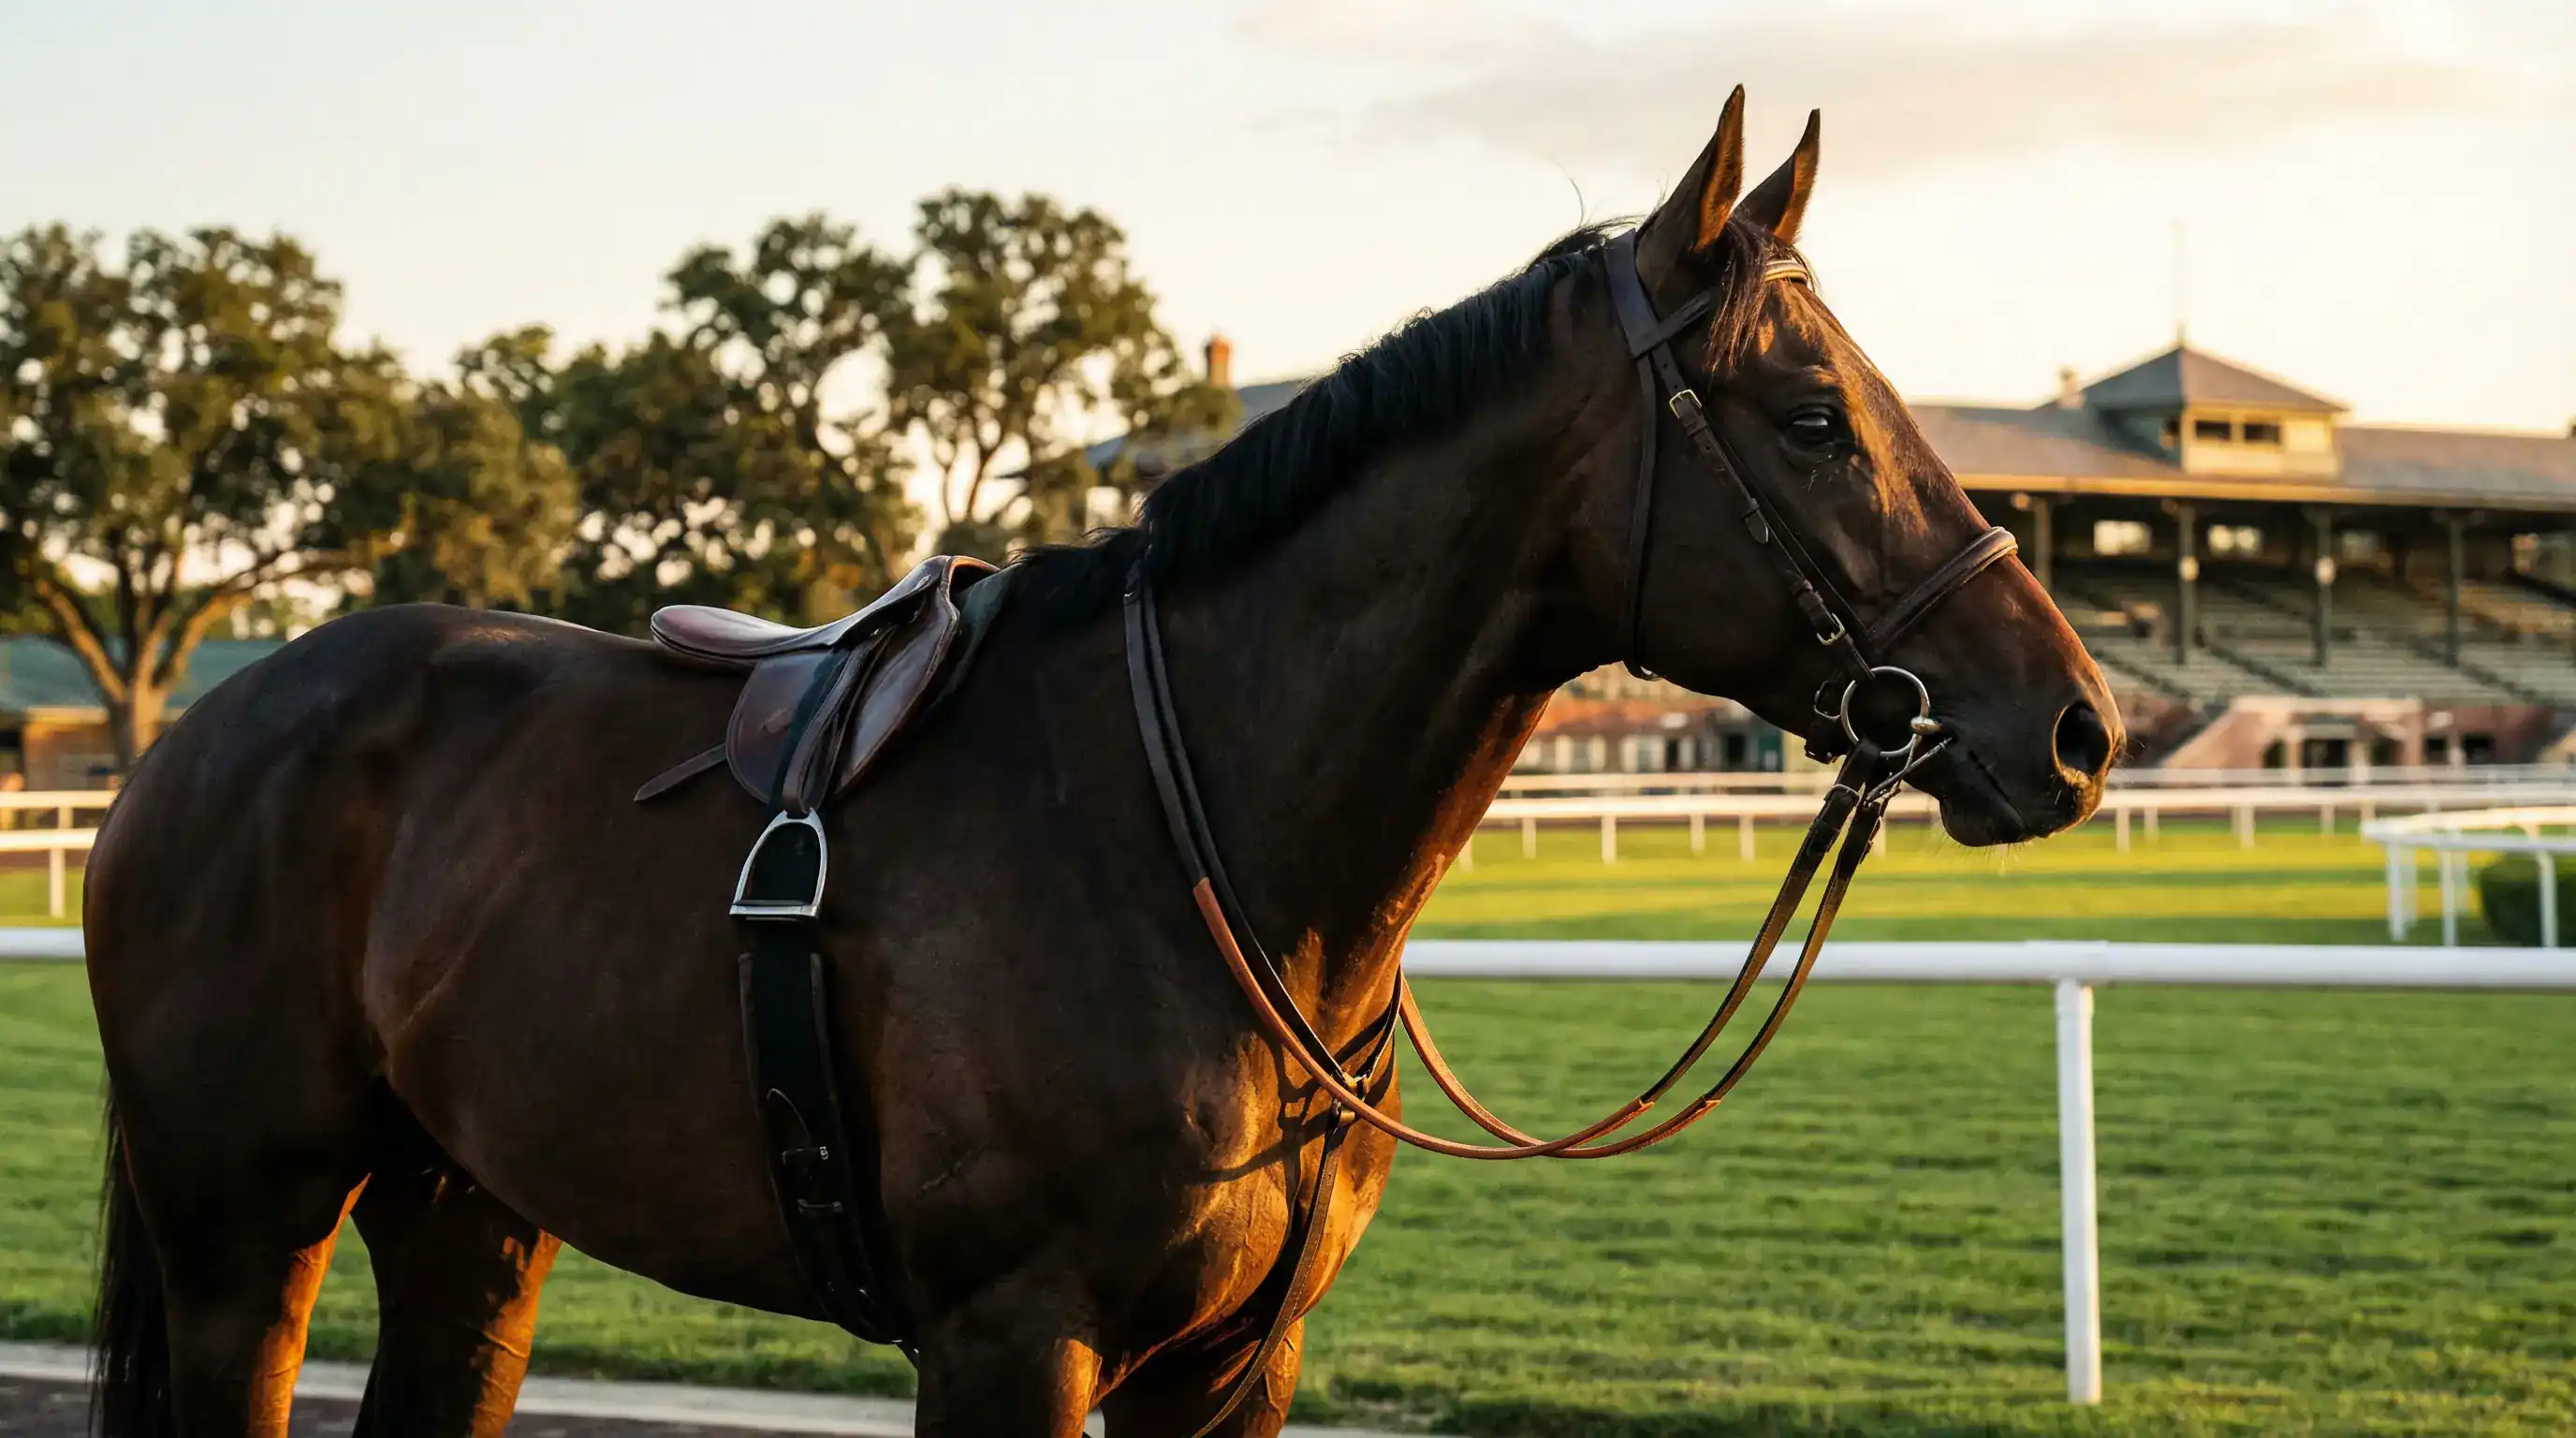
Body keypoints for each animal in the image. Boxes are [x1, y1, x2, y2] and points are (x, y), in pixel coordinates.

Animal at [85, 89, 2119, 1437]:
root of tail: (192, 744)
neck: (1188, 829)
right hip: (242, 1240)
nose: (2073, 729)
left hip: (469, 1220)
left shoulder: (1230, 1365)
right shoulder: (1012, 1342)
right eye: (1811, 418)